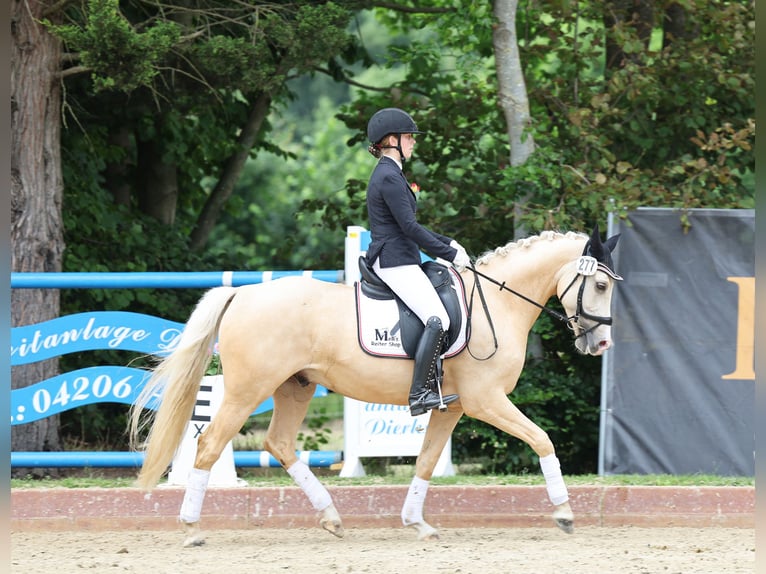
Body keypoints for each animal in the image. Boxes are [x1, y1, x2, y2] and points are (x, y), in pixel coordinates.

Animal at [129, 225, 621, 547]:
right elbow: (542, 440)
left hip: (295, 387)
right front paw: (564, 513)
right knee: (210, 444)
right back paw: (191, 528)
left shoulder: (455, 407)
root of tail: (243, 293)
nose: (602, 344)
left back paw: (331, 517)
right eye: (599, 284)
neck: (497, 305)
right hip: (246, 391)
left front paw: (416, 522)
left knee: (279, 443)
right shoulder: (487, 401)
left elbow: (426, 462)